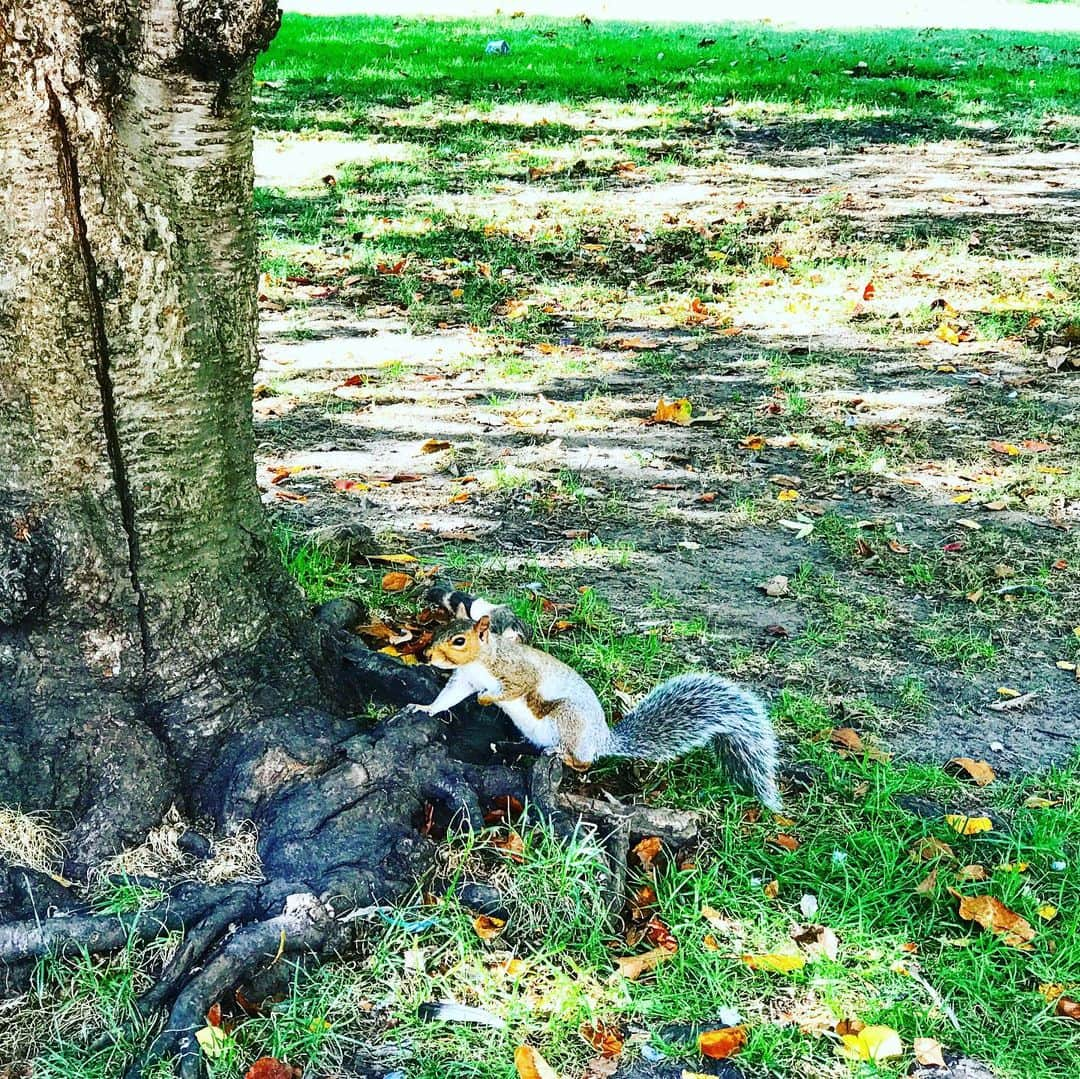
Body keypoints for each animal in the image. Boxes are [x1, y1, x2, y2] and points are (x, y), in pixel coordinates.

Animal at [410, 591, 777, 812]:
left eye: (459, 640)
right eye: (440, 630)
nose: (427, 656)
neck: (482, 661)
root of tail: (602, 739)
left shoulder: (518, 673)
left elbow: (515, 689)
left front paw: (488, 699)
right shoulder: (464, 679)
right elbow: (448, 697)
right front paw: (425, 708)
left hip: (567, 719)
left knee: (584, 762)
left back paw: (563, 756)